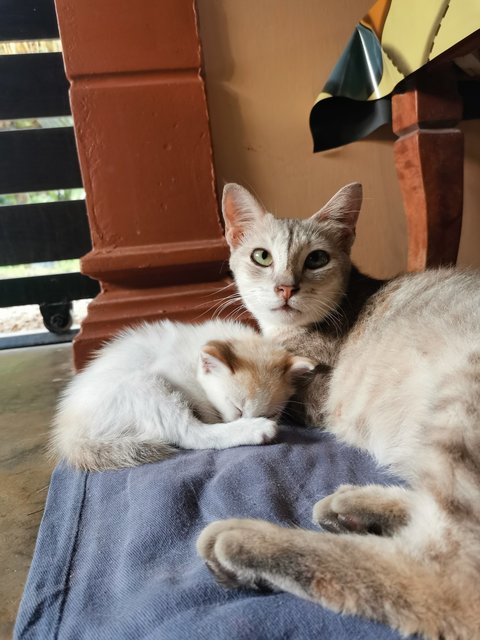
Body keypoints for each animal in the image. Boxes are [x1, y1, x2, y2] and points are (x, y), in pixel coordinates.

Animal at [51, 318, 316, 470]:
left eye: (272, 413)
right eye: (236, 407)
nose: (259, 419)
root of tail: (71, 431)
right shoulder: (172, 371)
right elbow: (203, 407)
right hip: (143, 386)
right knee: (189, 434)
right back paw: (254, 431)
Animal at [197, 182, 480, 636]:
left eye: (316, 259)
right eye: (262, 256)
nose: (286, 287)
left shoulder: (309, 392)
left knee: (446, 576)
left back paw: (244, 541)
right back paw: (353, 507)